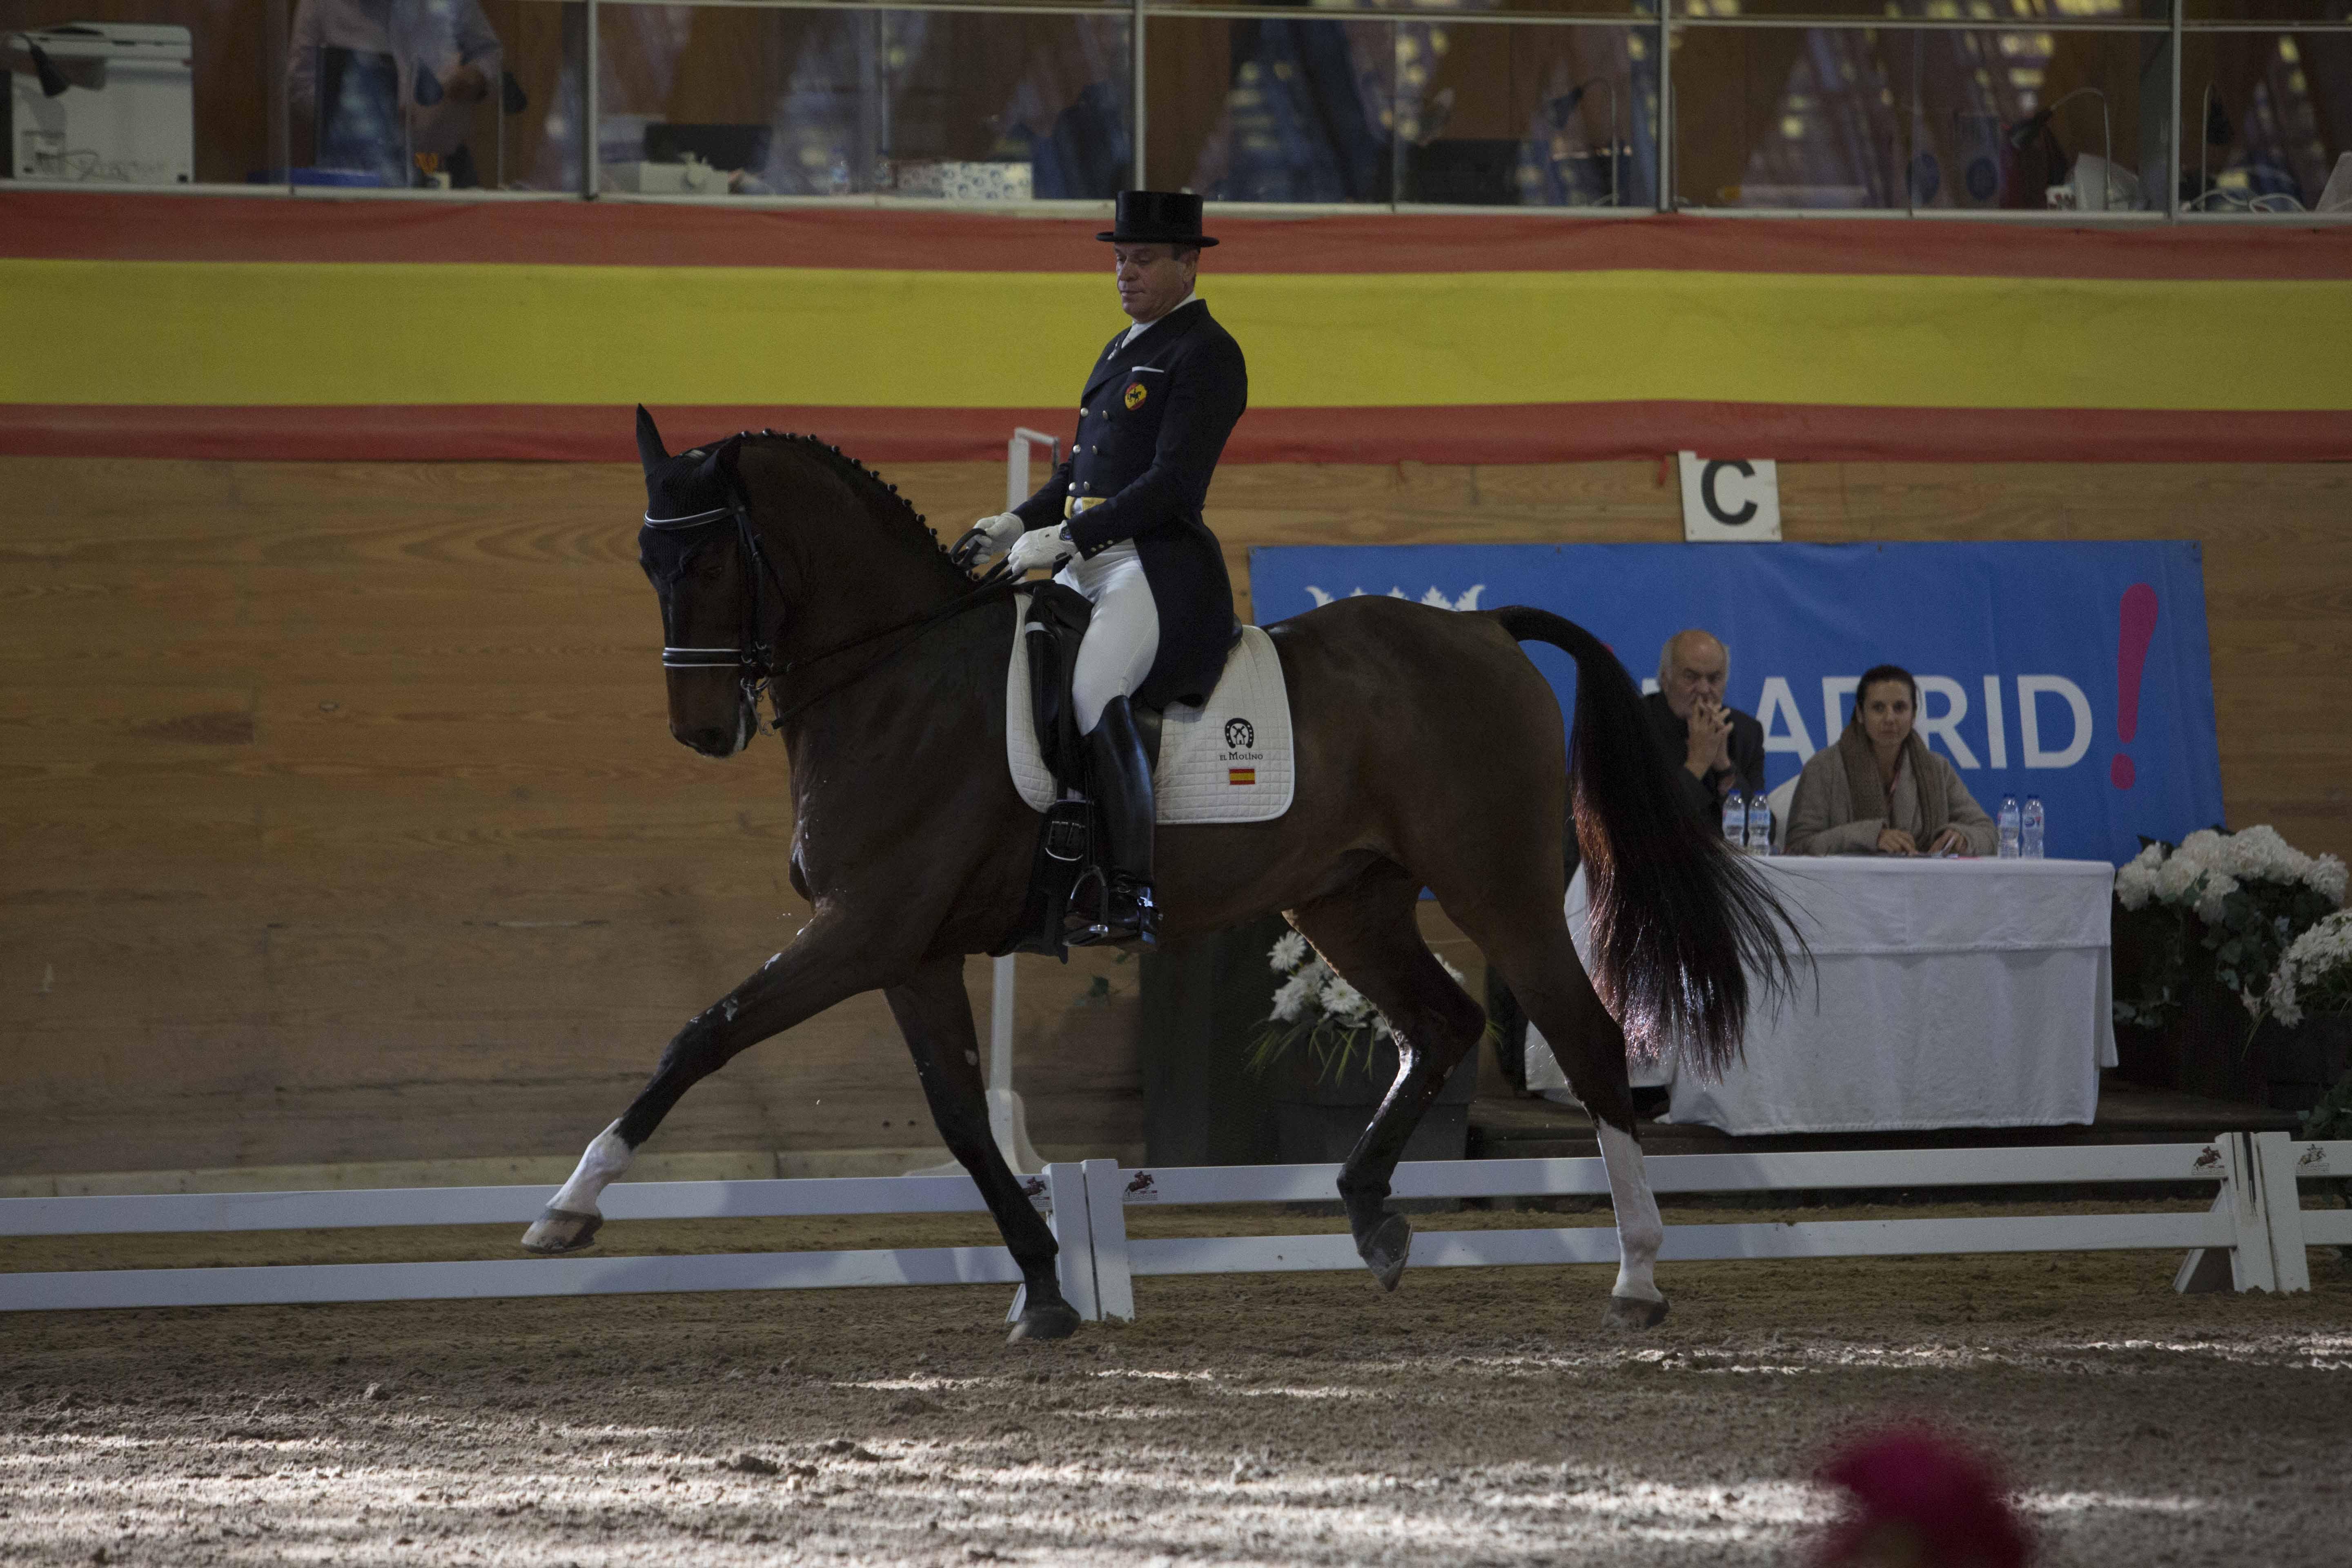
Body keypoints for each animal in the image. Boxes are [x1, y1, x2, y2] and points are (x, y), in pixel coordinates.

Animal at [519, 411, 1778, 1345]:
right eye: (646, 557)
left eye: (710, 555)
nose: (700, 731)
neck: (899, 676)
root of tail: (1485, 633)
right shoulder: (911, 950)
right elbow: (961, 1119)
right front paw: (1044, 1288)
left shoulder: (862, 928)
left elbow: (704, 1033)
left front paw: (568, 1209)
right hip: (1347, 898)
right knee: (1443, 1023)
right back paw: (1371, 1217)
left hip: (1497, 888)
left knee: (1584, 1034)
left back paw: (1636, 1277)